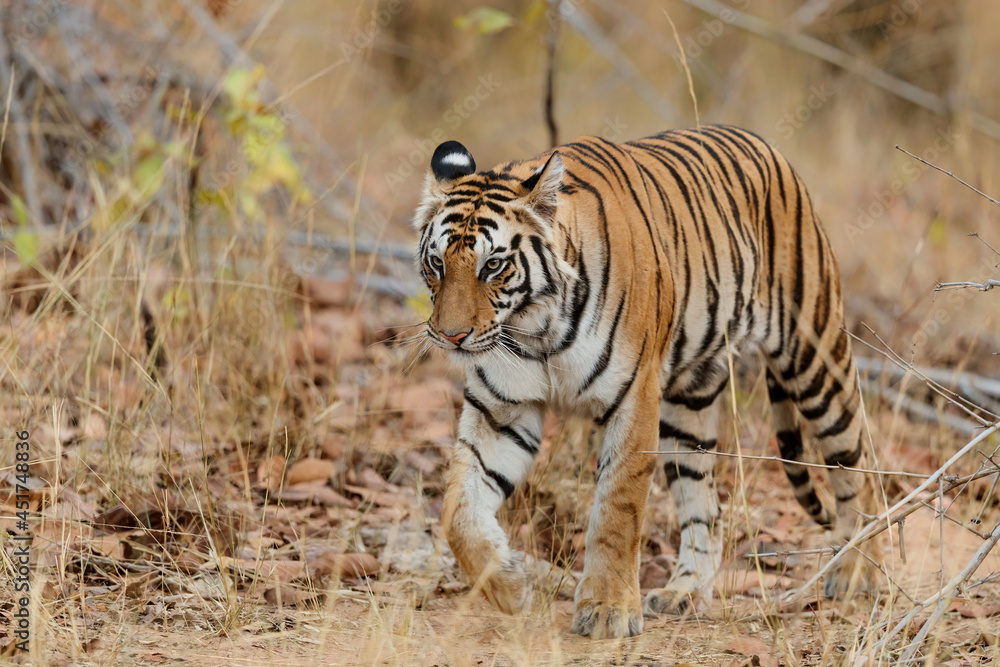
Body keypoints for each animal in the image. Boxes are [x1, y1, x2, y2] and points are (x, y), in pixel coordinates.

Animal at [412, 125, 881, 638]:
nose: (449, 335)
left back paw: (856, 573)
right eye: (436, 263)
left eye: (493, 266)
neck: (536, 329)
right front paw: (509, 586)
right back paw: (684, 593)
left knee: (859, 466)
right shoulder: (502, 410)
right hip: (689, 411)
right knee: (705, 508)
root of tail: (767, 147)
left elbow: (618, 509)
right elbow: (458, 508)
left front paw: (606, 610)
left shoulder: (634, 398)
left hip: (815, 359)